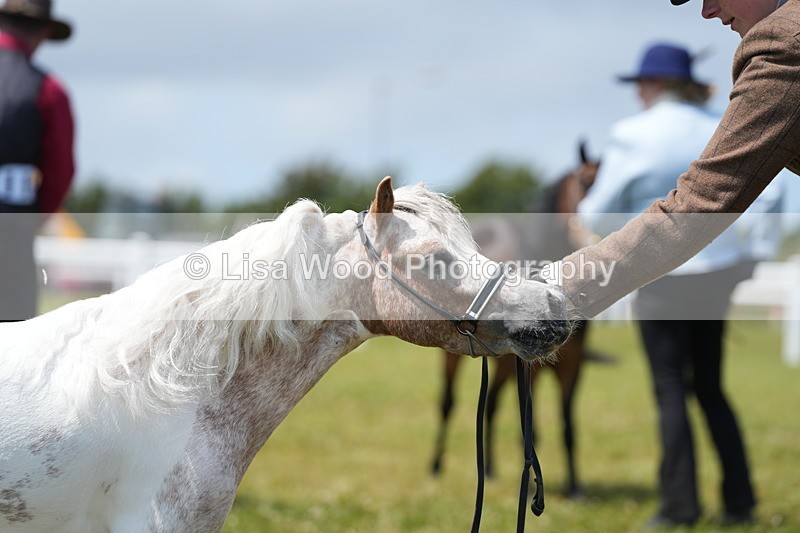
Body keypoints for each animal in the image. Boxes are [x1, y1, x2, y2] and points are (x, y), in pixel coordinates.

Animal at [430, 144, 601, 498]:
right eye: (583, 183)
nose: (589, 234)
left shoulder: (572, 363)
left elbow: (567, 421)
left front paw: (574, 486)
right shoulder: (530, 367)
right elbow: (529, 423)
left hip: (503, 364)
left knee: (492, 404)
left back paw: (491, 470)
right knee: (448, 402)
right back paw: (436, 466)